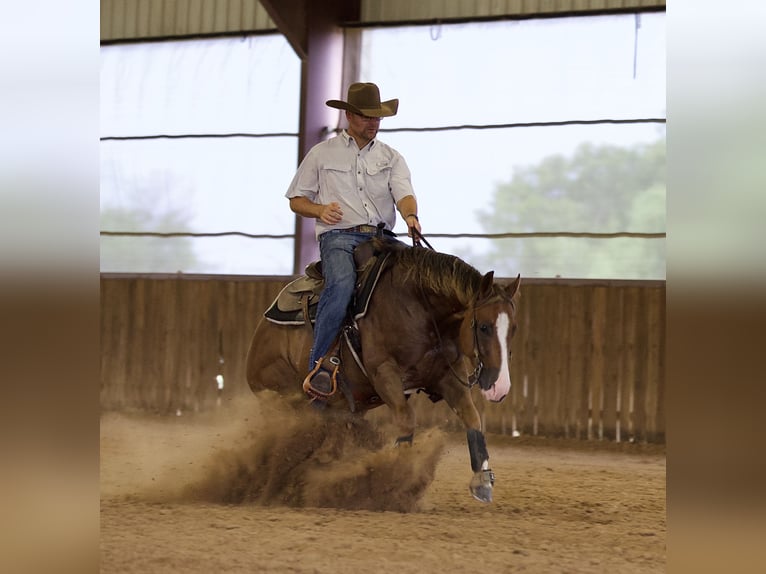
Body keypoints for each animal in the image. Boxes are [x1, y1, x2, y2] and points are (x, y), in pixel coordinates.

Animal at [245, 238, 521, 503]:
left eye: (514, 329)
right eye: (484, 327)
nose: (500, 387)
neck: (420, 311)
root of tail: (260, 332)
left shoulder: (449, 377)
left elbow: (473, 419)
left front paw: (482, 481)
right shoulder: (384, 374)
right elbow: (406, 421)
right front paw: (395, 479)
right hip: (281, 398)